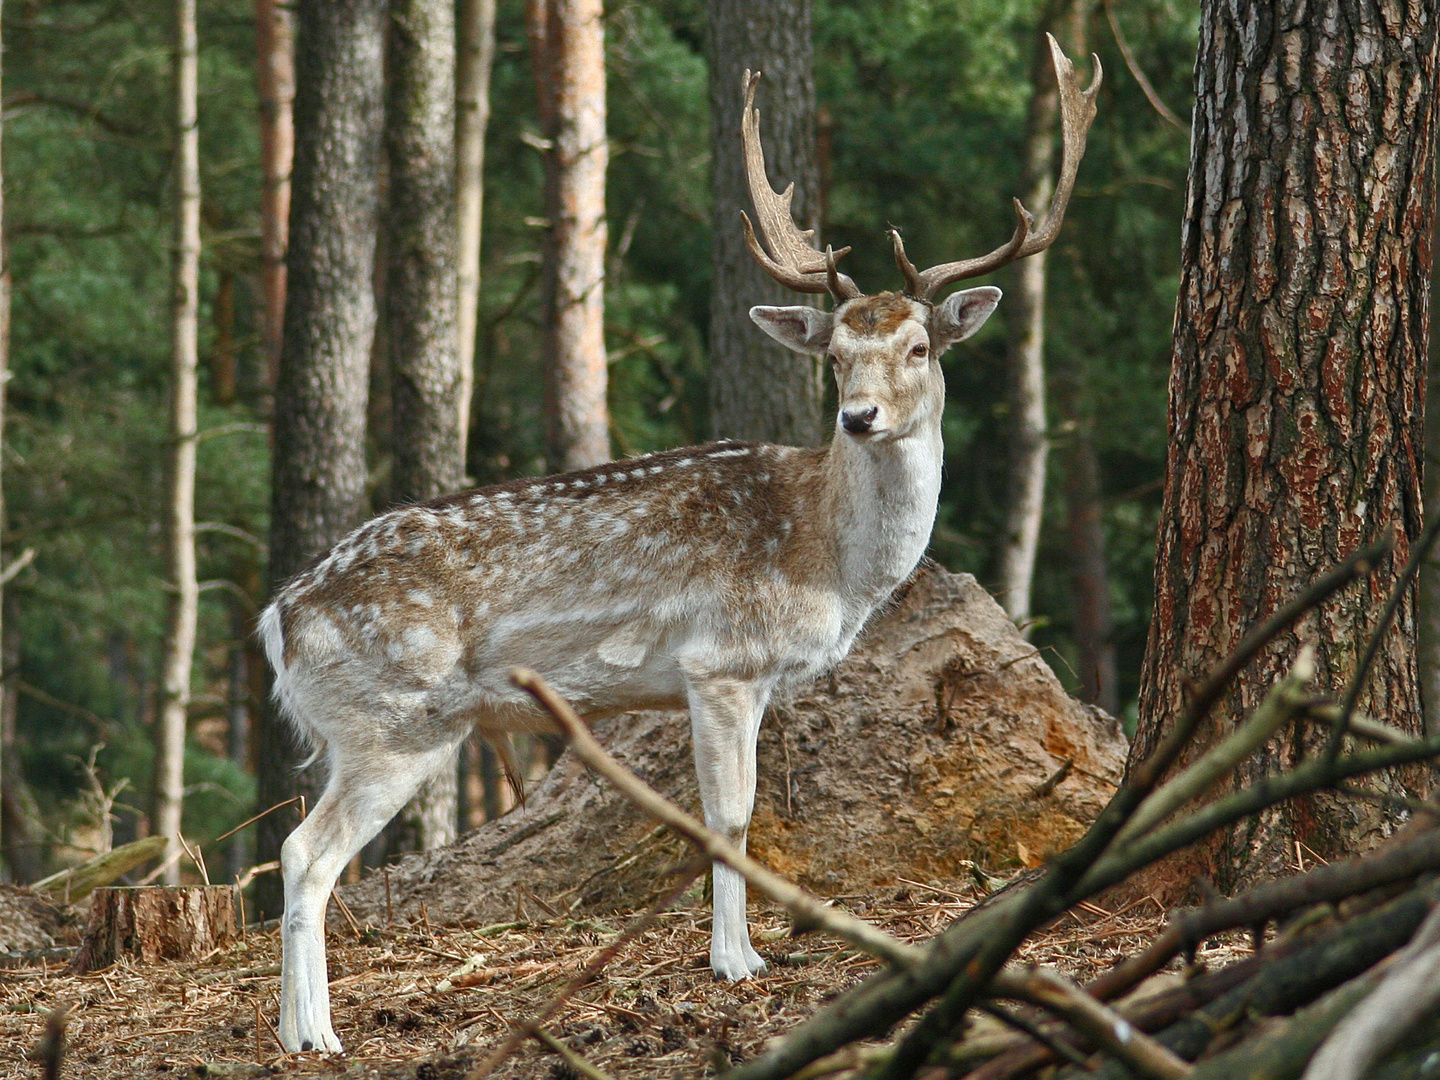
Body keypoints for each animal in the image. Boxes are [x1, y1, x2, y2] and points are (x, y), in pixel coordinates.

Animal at [262, 36, 1088, 1059]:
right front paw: (737, 962)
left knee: (300, 850)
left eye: (919, 349)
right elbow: (730, 816)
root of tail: (280, 619)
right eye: (834, 356)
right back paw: (314, 1035)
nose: (858, 418)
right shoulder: (721, 661)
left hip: (370, 728)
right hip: (393, 719)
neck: (829, 560)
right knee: (304, 852)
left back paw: (301, 1029)